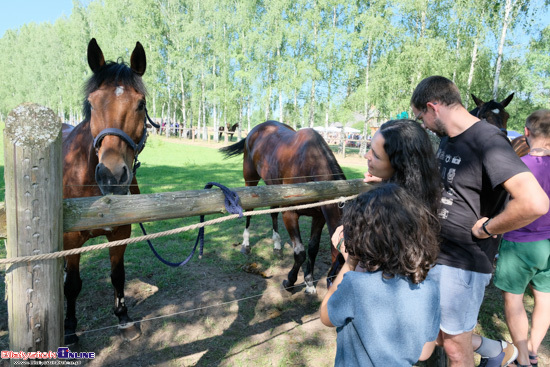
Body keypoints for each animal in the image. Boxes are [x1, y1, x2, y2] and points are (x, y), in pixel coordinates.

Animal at [62, 38, 153, 346]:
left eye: (140, 104)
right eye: (92, 103)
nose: (111, 176)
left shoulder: (120, 233)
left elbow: (117, 275)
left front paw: (123, 318)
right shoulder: (71, 238)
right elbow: (72, 285)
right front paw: (69, 330)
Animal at [220, 122, 344, 294]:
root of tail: (257, 128)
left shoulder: (319, 217)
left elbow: (313, 248)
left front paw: (309, 282)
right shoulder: (289, 214)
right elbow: (300, 252)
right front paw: (290, 282)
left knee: (273, 213)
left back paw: (277, 246)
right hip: (250, 179)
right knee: (249, 212)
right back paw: (246, 245)